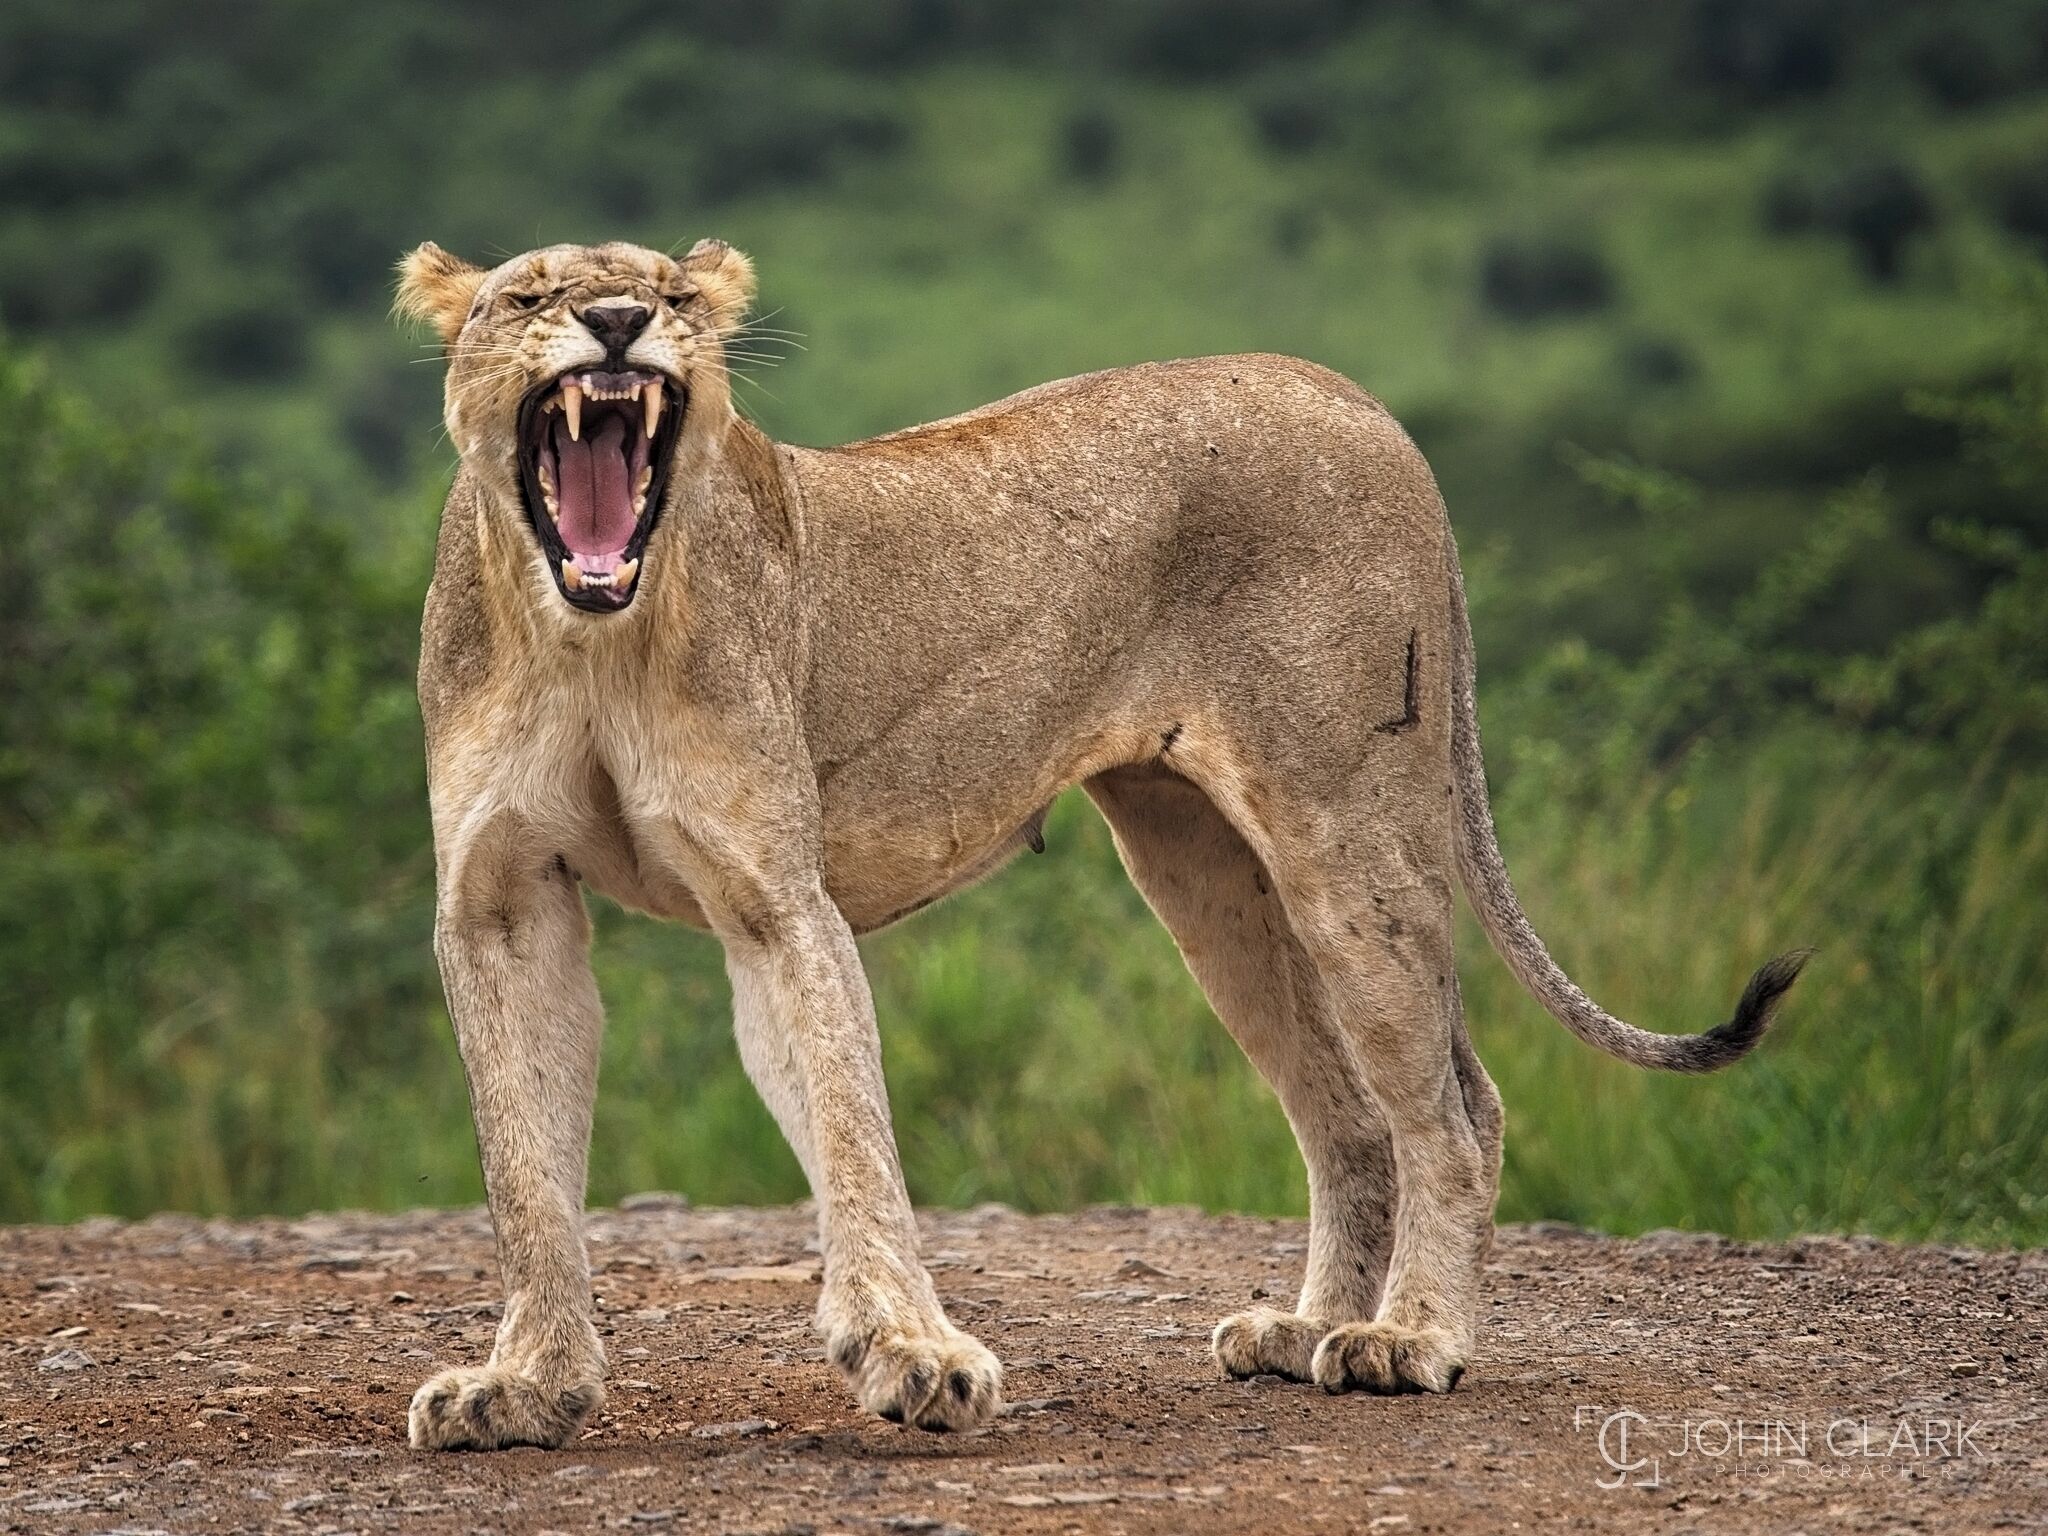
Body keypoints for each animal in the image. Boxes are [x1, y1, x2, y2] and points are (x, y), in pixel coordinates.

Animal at [393, 237, 1808, 1450]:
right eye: (527, 297)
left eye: (674, 296)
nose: (615, 322)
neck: (590, 635)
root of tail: (1350, 394)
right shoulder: (503, 901)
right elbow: (525, 1166)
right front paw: (524, 1386)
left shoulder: (775, 900)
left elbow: (851, 1134)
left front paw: (917, 1357)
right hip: (1203, 875)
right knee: (1349, 1116)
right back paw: (1304, 1329)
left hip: (1347, 829)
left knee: (1452, 1104)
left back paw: (1406, 1340)